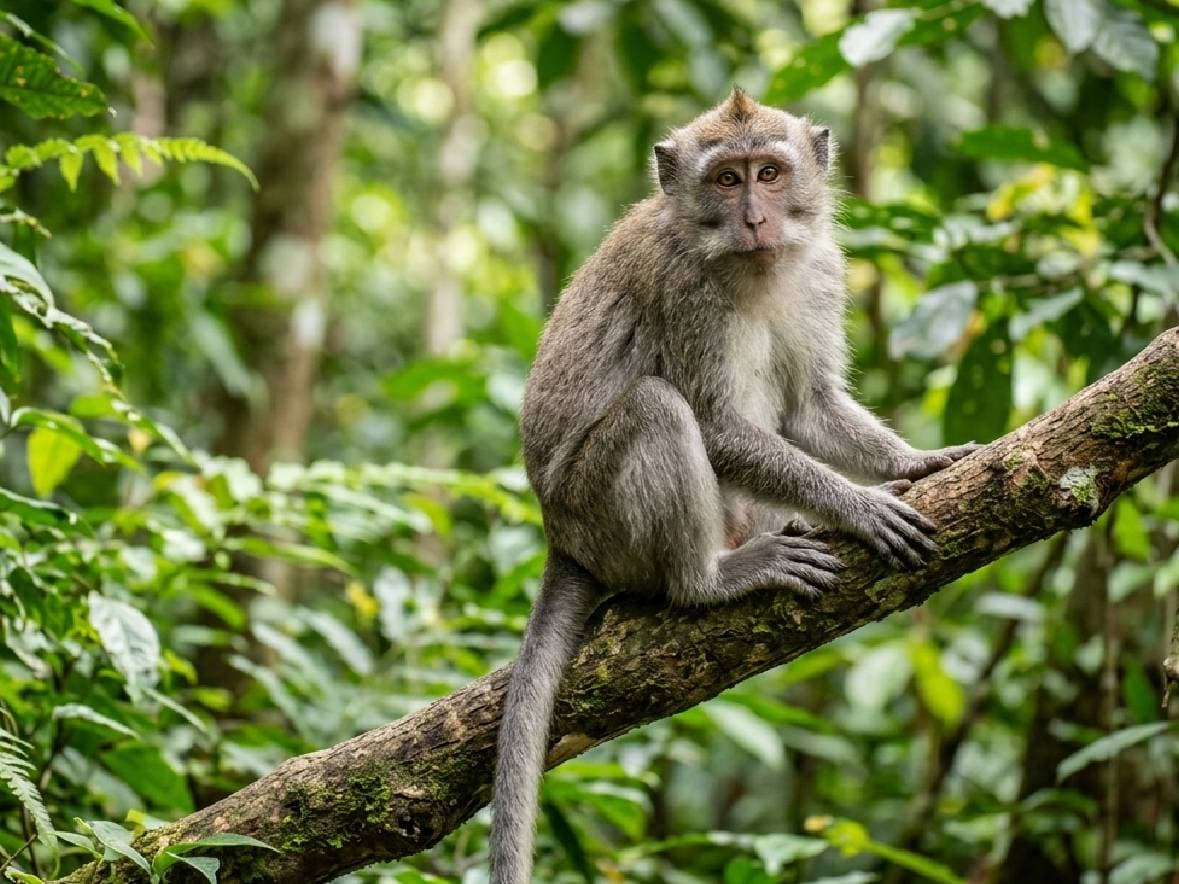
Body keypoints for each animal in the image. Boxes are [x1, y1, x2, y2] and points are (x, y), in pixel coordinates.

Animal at [490, 88, 979, 884]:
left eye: (769, 173)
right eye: (726, 180)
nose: (755, 217)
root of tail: (559, 537)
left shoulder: (822, 271)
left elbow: (809, 406)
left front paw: (914, 461)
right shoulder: (683, 292)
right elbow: (718, 427)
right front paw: (860, 505)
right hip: (599, 516)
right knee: (658, 409)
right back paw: (712, 578)